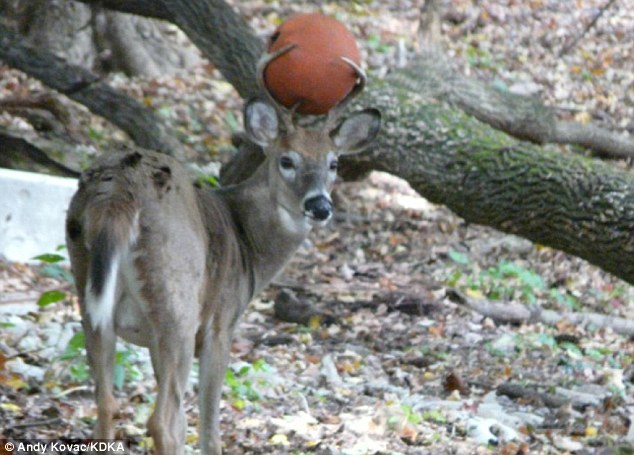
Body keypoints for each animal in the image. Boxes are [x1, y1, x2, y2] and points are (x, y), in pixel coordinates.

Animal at [65, 42, 380, 455]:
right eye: (287, 160)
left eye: (333, 163)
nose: (319, 206)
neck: (246, 238)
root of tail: (120, 191)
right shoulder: (220, 323)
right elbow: (207, 426)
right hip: (178, 305)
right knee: (161, 420)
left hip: (91, 297)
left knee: (105, 403)